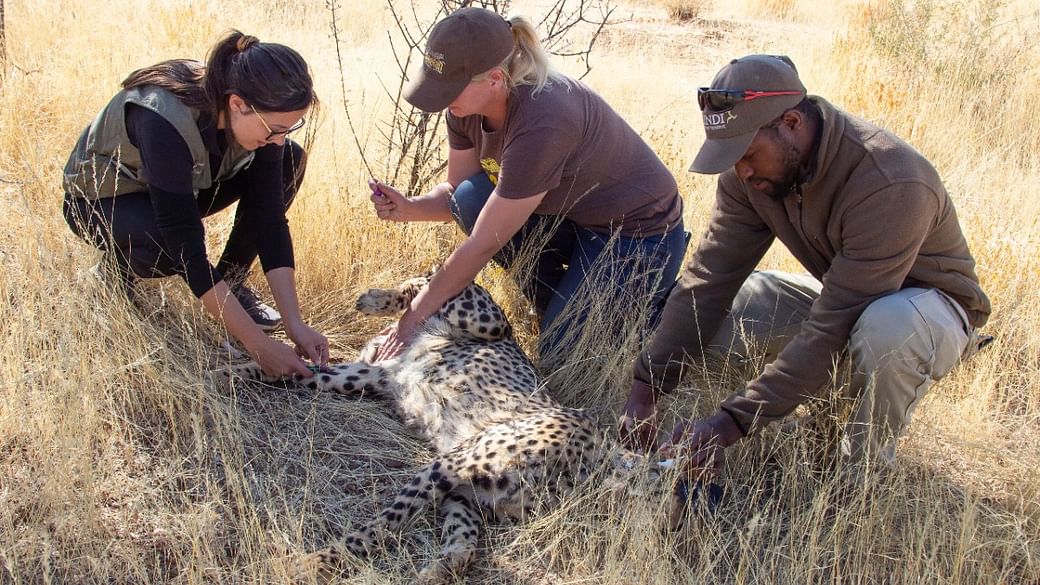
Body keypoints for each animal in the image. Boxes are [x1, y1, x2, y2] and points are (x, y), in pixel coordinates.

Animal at [217, 270, 690, 578]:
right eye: (670, 499)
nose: (670, 535)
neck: (590, 470)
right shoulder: (447, 465)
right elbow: (380, 527)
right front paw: (314, 562)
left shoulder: (464, 493)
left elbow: (465, 541)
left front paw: (442, 569)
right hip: (487, 319)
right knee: (430, 282)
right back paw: (375, 297)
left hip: (365, 377)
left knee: (304, 371)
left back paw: (233, 372)